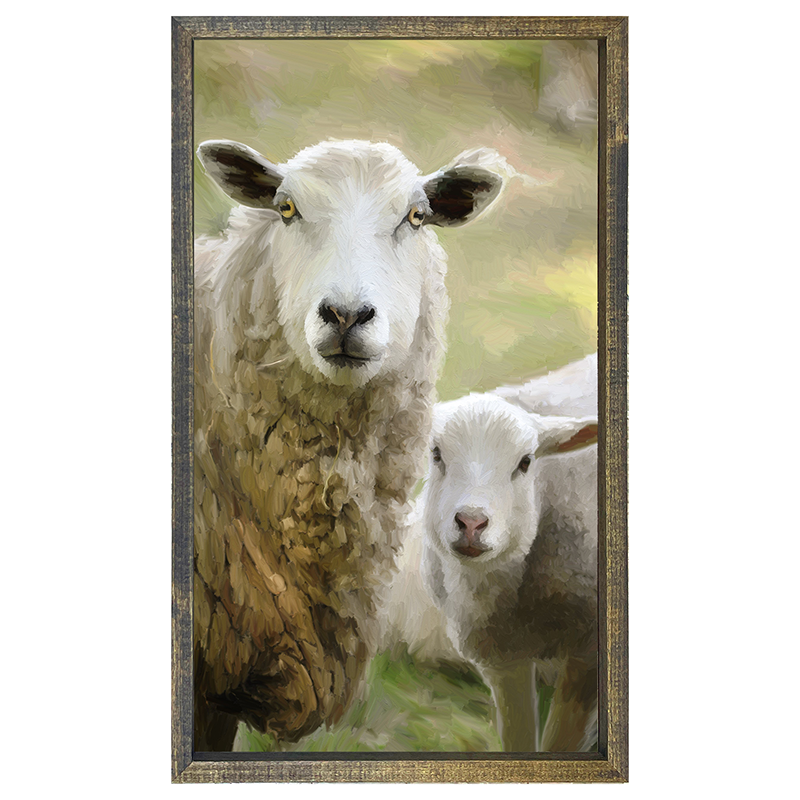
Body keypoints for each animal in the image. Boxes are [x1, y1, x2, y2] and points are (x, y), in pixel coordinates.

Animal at [418, 393, 598, 752]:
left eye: (526, 462)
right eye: (436, 454)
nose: (471, 523)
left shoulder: (589, 655)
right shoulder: (502, 660)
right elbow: (518, 737)